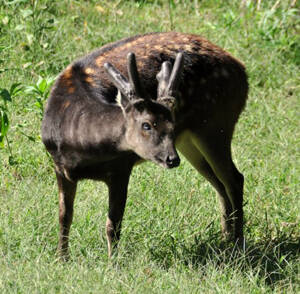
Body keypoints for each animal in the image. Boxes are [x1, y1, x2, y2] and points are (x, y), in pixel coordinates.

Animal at [41, 31, 248, 260]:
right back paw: (226, 237)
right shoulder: (60, 167)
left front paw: (113, 262)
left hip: (216, 124)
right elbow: (64, 216)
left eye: (171, 124)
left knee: (235, 178)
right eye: (146, 125)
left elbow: (113, 225)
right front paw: (62, 258)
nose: (171, 159)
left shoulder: (121, 167)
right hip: (190, 140)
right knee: (219, 184)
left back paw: (238, 244)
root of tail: (242, 70)